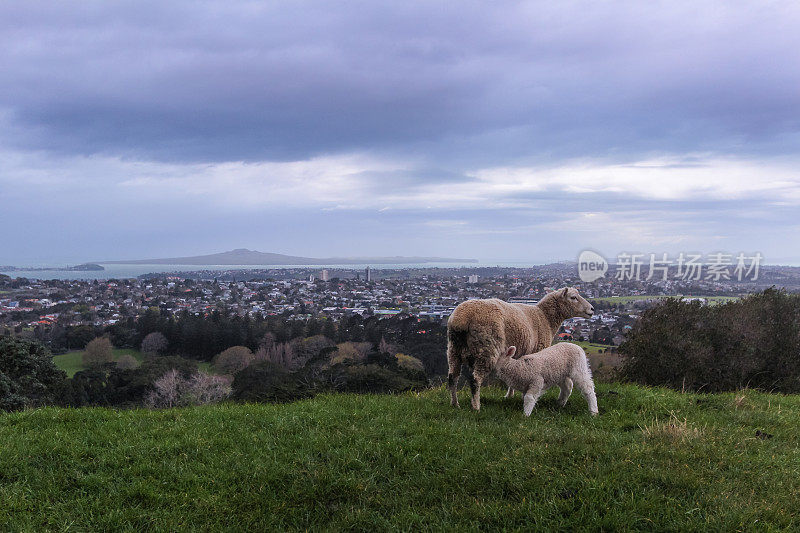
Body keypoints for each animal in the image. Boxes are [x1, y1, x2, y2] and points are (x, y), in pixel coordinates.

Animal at [444, 286, 592, 408]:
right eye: (573, 297)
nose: (592, 309)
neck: (544, 317)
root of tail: (461, 319)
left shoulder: (518, 354)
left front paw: (510, 395)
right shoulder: (537, 352)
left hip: (454, 349)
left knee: (452, 377)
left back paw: (454, 404)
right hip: (486, 348)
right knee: (475, 380)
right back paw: (476, 406)